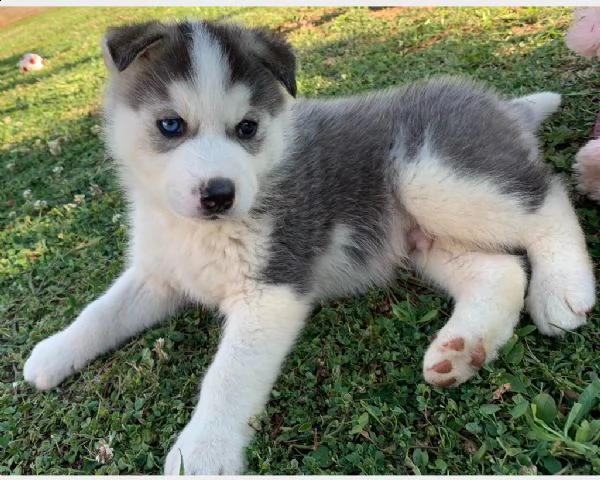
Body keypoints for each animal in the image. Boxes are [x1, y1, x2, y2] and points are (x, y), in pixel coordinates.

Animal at [22, 19, 596, 476]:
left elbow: (228, 377)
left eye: (247, 128)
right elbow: (102, 312)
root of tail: (502, 105)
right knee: (501, 271)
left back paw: (563, 289)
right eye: (170, 125)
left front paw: (203, 451)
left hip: (432, 177)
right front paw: (52, 353)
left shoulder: (272, 288)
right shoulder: (159, 274)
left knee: (548, 199)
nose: (218, 193)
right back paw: (462, 350)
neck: (198, 230)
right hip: (422, 238)